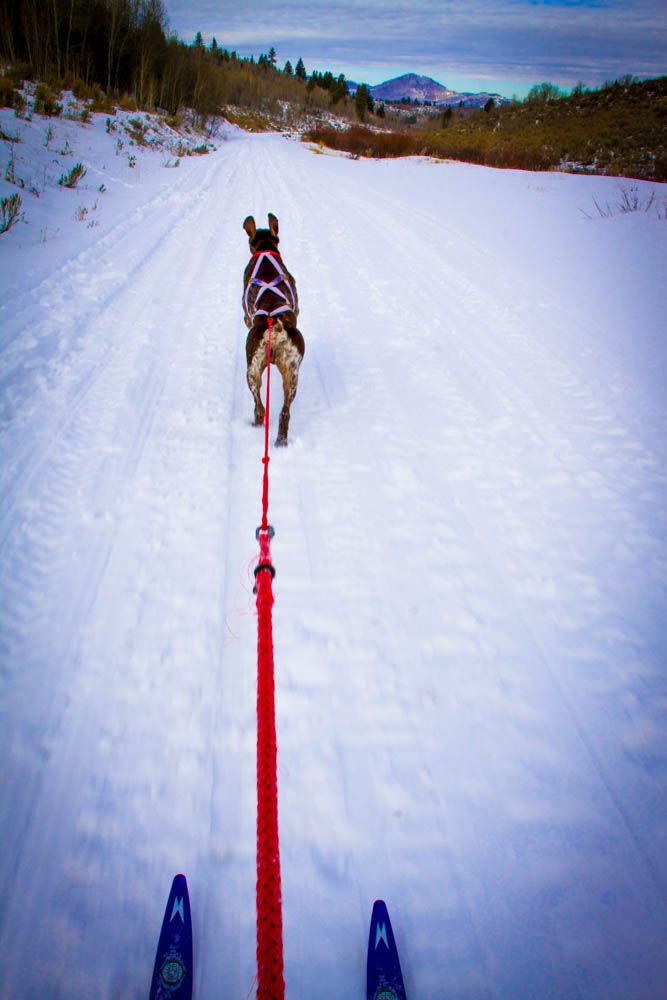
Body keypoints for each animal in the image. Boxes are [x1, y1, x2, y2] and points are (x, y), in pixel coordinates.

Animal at [243, 216, 306, 450]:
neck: (265, 250)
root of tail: (276, 328)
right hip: (292, 374)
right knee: (284, 412)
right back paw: (280, 439)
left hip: (252, 371)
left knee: (260, 406)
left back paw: (257, 422)